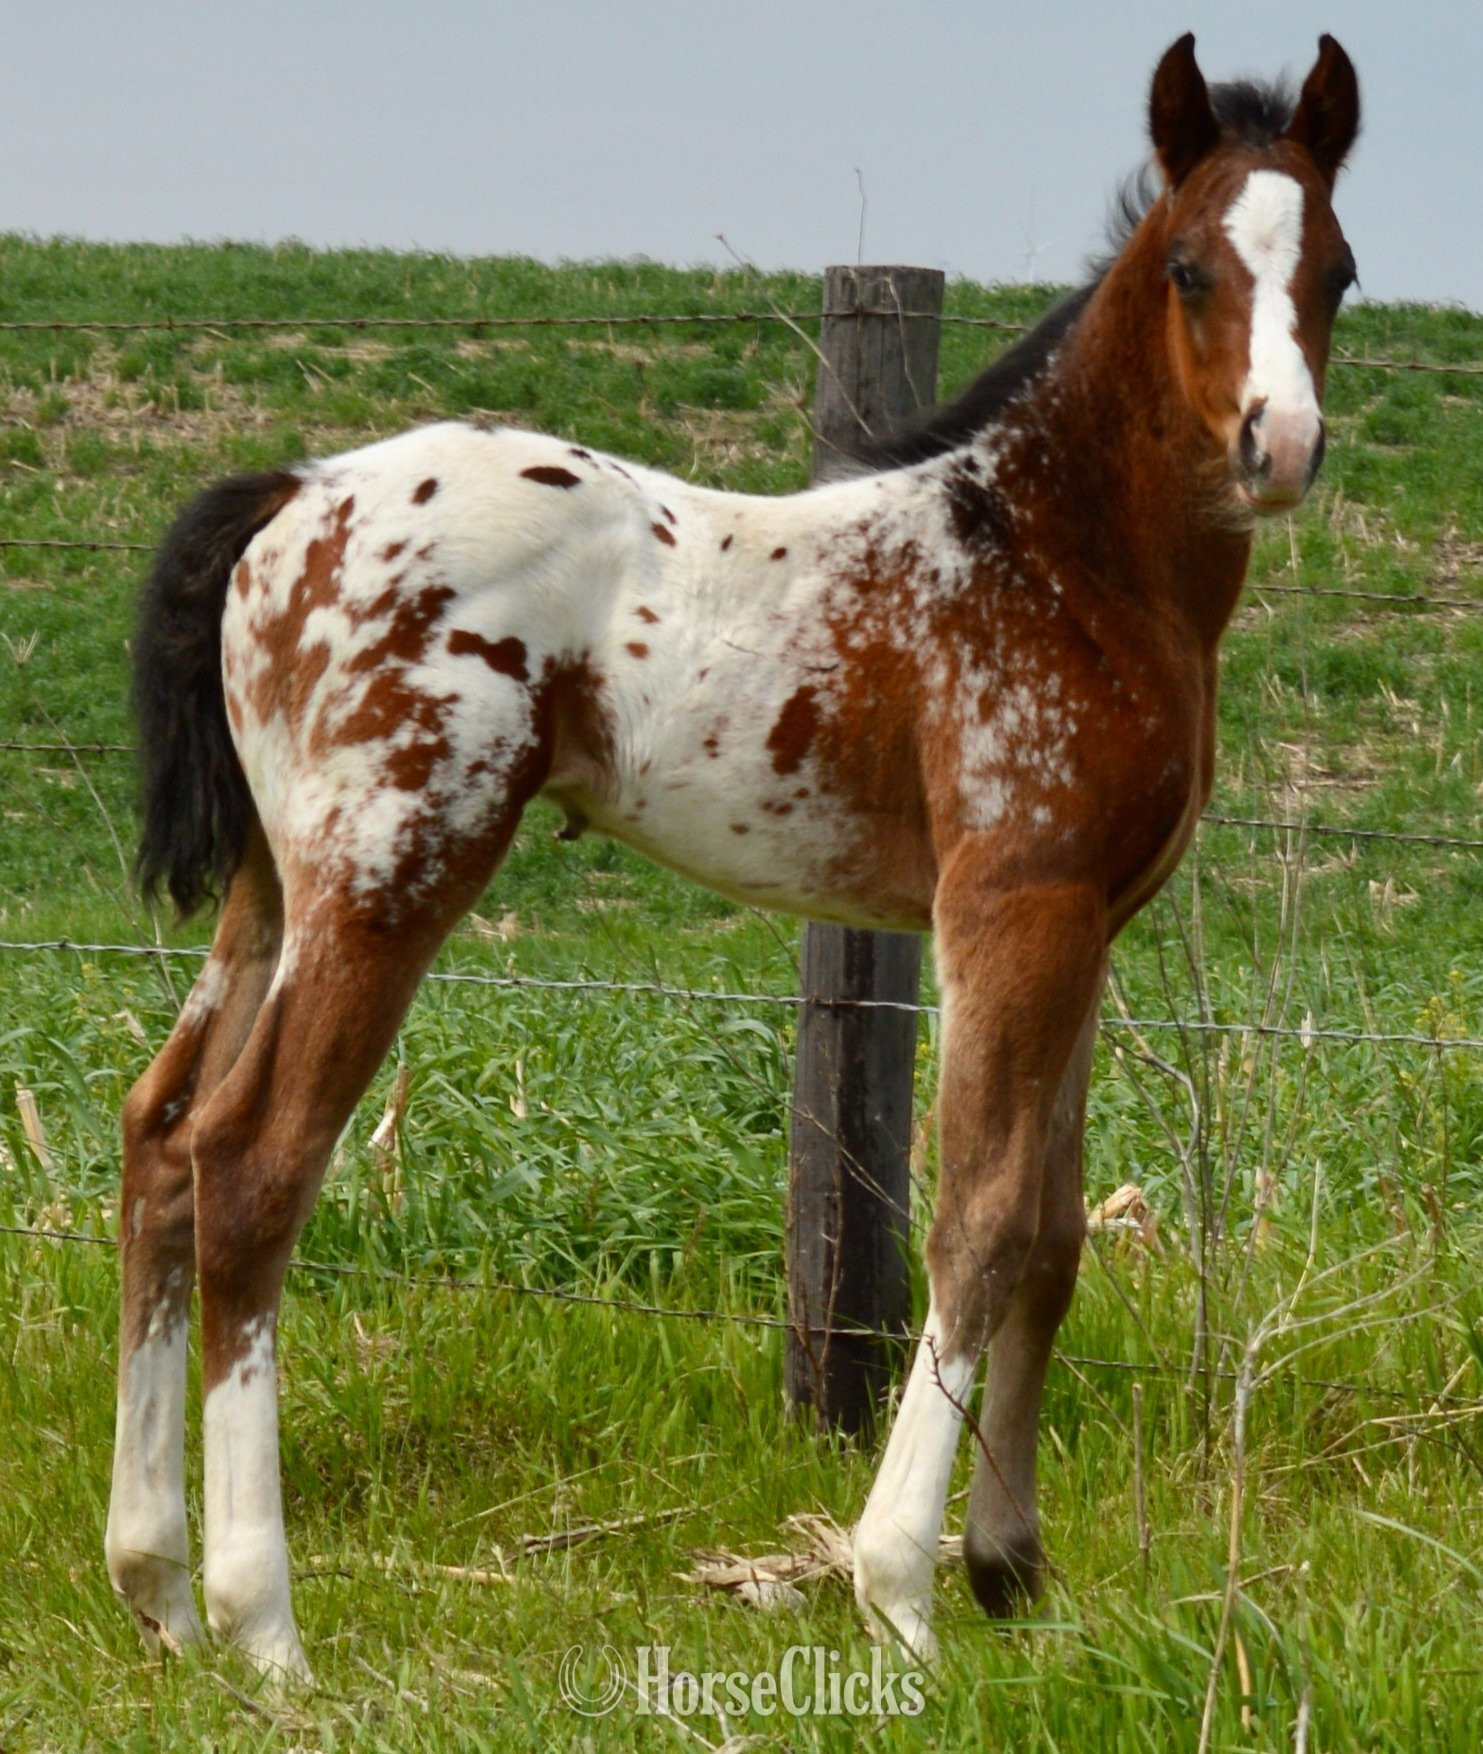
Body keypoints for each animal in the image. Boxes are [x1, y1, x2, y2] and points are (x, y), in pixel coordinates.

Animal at [104, 33, 1359, 1678]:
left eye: (1334, 272)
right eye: (1191, 269)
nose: (1278, 447)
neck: (1048, 558)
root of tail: (296, 494)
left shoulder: (1086, 920)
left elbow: (1053, 1231)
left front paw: (1011, 1573)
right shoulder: (1009, 904)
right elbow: (979, 1219)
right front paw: (899, 1590)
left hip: (279, 883)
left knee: (161, 1132)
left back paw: (160, 1588)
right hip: (393, 869)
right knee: (254, 1162)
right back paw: (268, 1633)